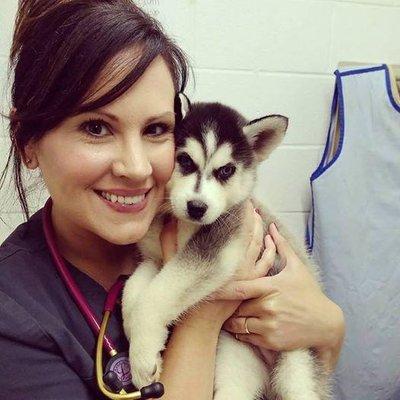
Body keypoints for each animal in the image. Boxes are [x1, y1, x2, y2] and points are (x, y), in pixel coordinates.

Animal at [122, 95, 332, 398]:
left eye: (226, 170)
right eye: (184, 160)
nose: (197, 207)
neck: (182, 222)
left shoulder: (219, 244)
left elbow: (156, 295)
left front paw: (141, 357)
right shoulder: (156, 259)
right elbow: (132, 290)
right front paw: (136, 337)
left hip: (298, 363)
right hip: (235, 356)